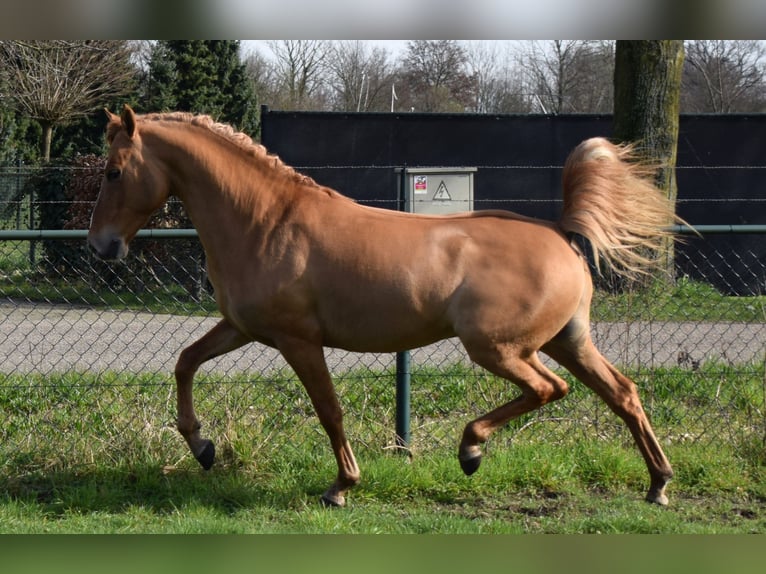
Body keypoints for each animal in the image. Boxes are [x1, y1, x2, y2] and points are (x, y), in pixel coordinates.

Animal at [87, 104, 680, 508]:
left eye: (114, 171)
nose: (101, 246)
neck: (266, 222)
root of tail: (560, 232)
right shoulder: (241, 327)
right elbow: (185, 362)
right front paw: (202, 446)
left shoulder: (297, 340)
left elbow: (328, 409)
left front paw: (341, 486)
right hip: (567, 340)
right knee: (622, 393)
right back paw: (658, 484)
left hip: (499, 348)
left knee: (549, 389)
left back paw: (471, 450)